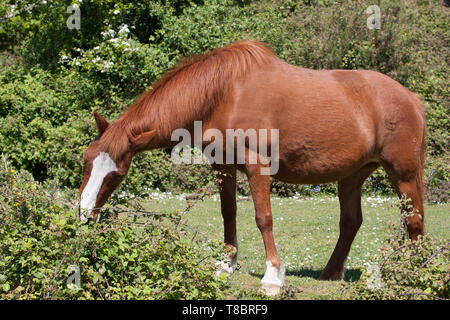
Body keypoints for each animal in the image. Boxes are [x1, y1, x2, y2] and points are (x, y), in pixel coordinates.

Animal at [77, 39, 426, 296]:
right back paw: (330, 274)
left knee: (414, 220)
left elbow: (263, 218)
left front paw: (272, 277)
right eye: (86, 160)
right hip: (352, 176)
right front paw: (227, 263)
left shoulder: (257, 165)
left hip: (403, 173)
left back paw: (415, 273)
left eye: (116, 174)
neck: (225, 92)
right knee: (352, 222)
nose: (82, 214)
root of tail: (411, 98)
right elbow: (228, 212)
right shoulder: (223, 166)